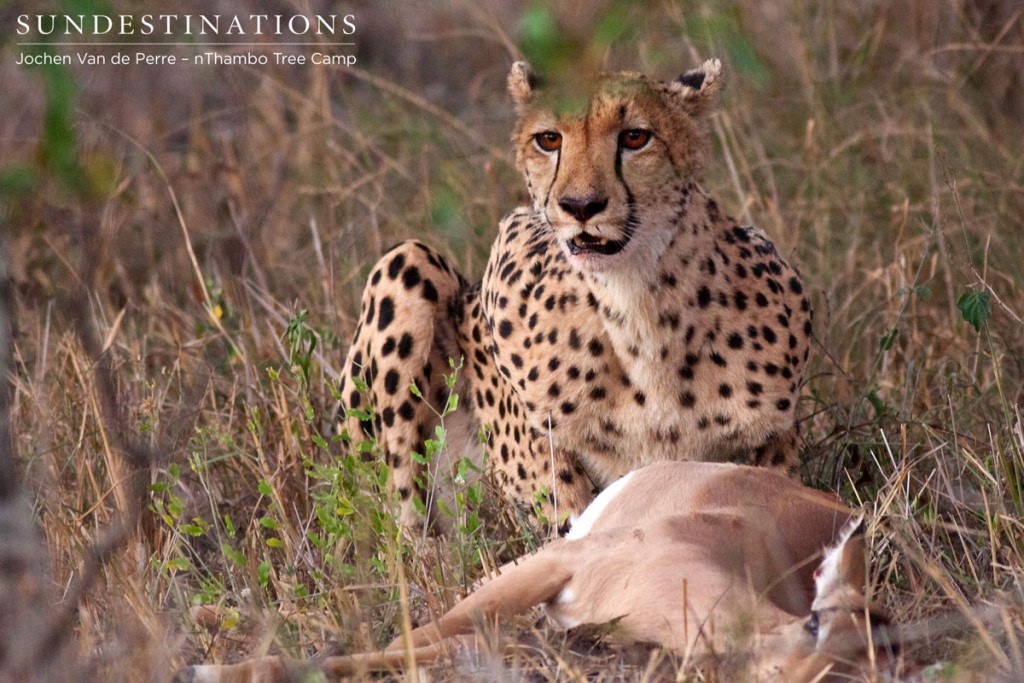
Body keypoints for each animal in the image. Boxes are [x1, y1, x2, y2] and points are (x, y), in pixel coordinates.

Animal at [339, 58, 811, 532]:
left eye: (635, 137)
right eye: (549, 139)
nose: (580, 206)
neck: (641, 310)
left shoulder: (778, 433)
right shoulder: (509, 249)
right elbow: (567, 508)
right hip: (404, 262)